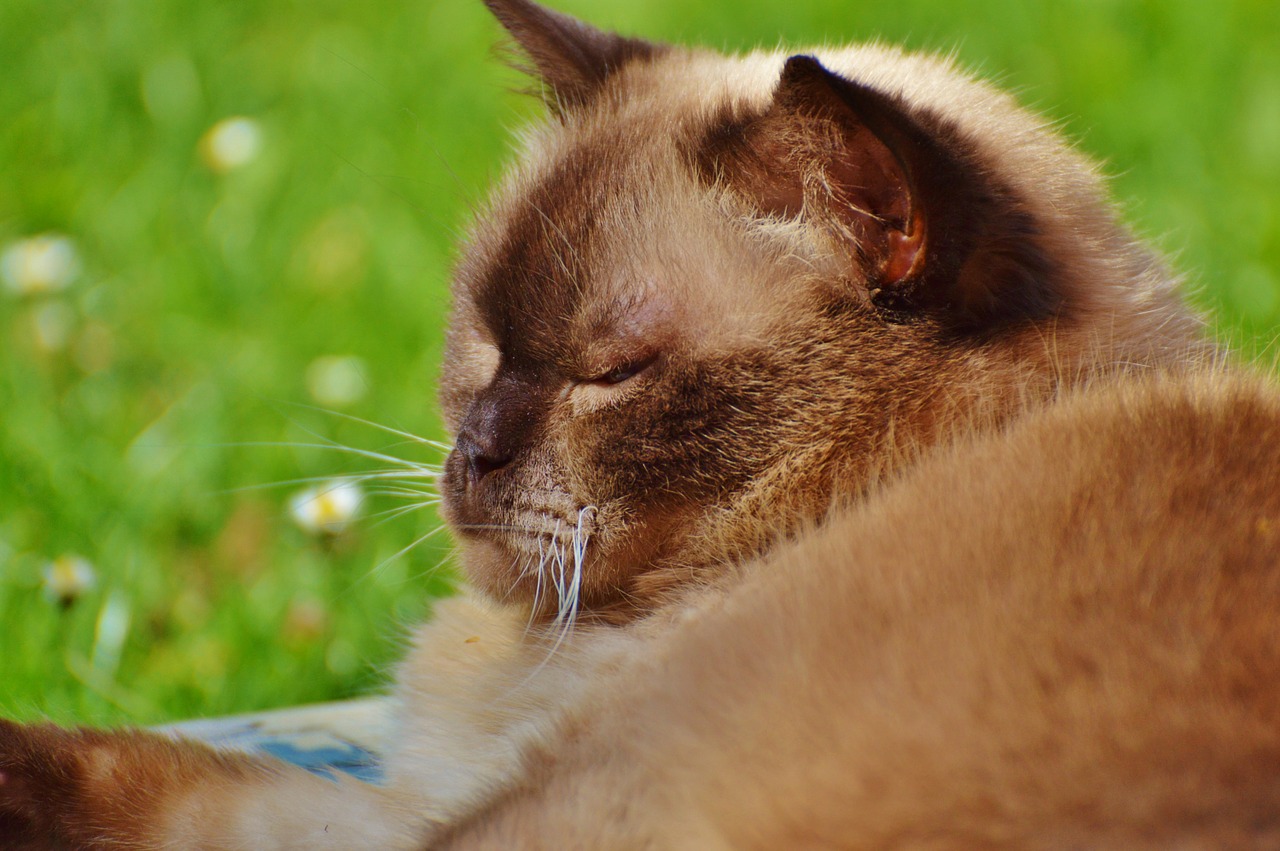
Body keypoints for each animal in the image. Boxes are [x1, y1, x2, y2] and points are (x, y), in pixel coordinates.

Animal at [2, 0, 1280, 844]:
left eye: (608, 373)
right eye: (483, 335)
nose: (471, 452)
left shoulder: (487, 818)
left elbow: (130, 774)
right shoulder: (405, 803)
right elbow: (126, 764)